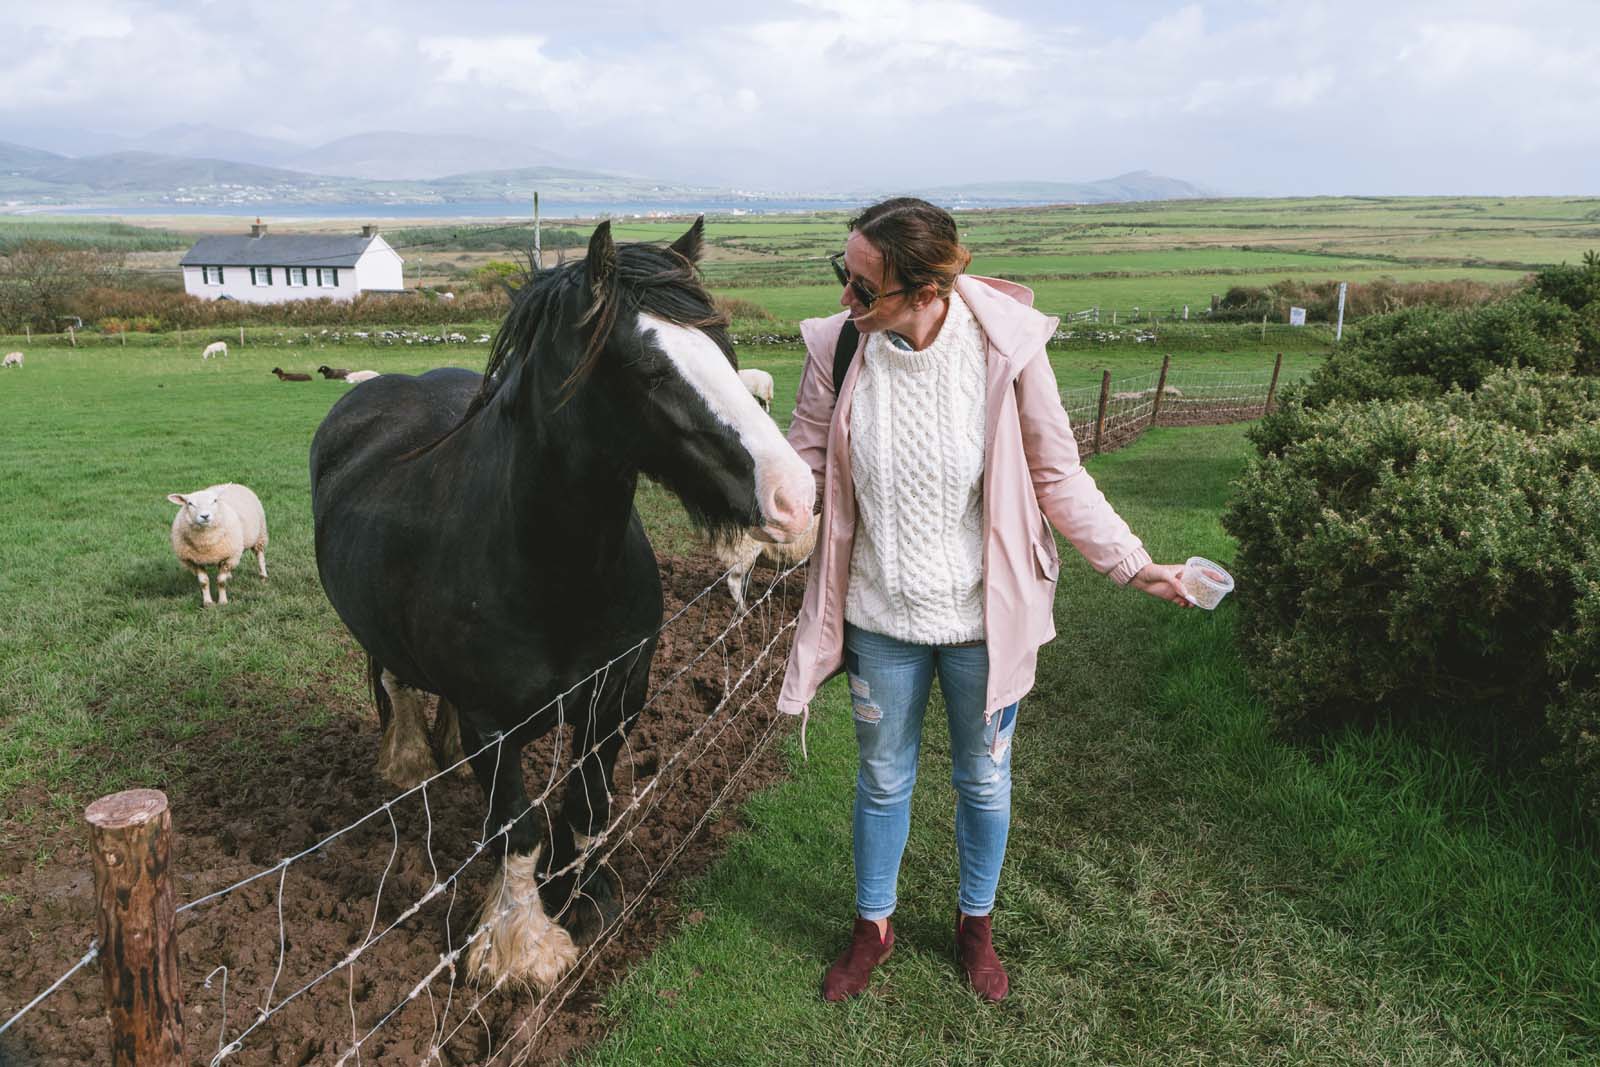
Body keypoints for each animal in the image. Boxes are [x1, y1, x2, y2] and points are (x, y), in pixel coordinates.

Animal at [310, 220, 812, 991]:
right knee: (396, 681)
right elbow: (516, 829)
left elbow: (587, 803)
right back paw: (409, 760)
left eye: (726, 351)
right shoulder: (493, 724)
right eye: (651, 371)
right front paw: (522, 945)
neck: (554, 572)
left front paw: (585, 894)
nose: (796, 496)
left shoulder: (620, 695)